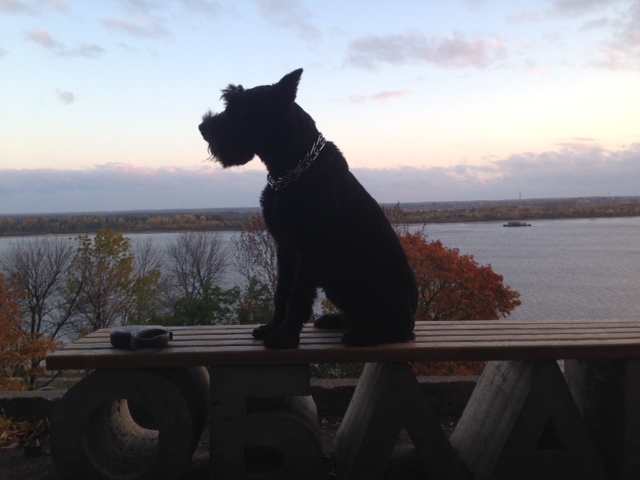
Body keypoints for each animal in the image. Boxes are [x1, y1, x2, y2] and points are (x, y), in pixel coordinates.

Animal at [199, 69, 417, 349]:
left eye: (239, 107)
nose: (203, 127)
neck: (292, 168)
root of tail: (412, 313)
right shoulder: (285, 249)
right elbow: (282, 293)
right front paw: (272, 327)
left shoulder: (310, 250)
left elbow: (297, 296)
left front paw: (285, 337)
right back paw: (335, 321)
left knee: (397, 330)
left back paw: (364, 334)